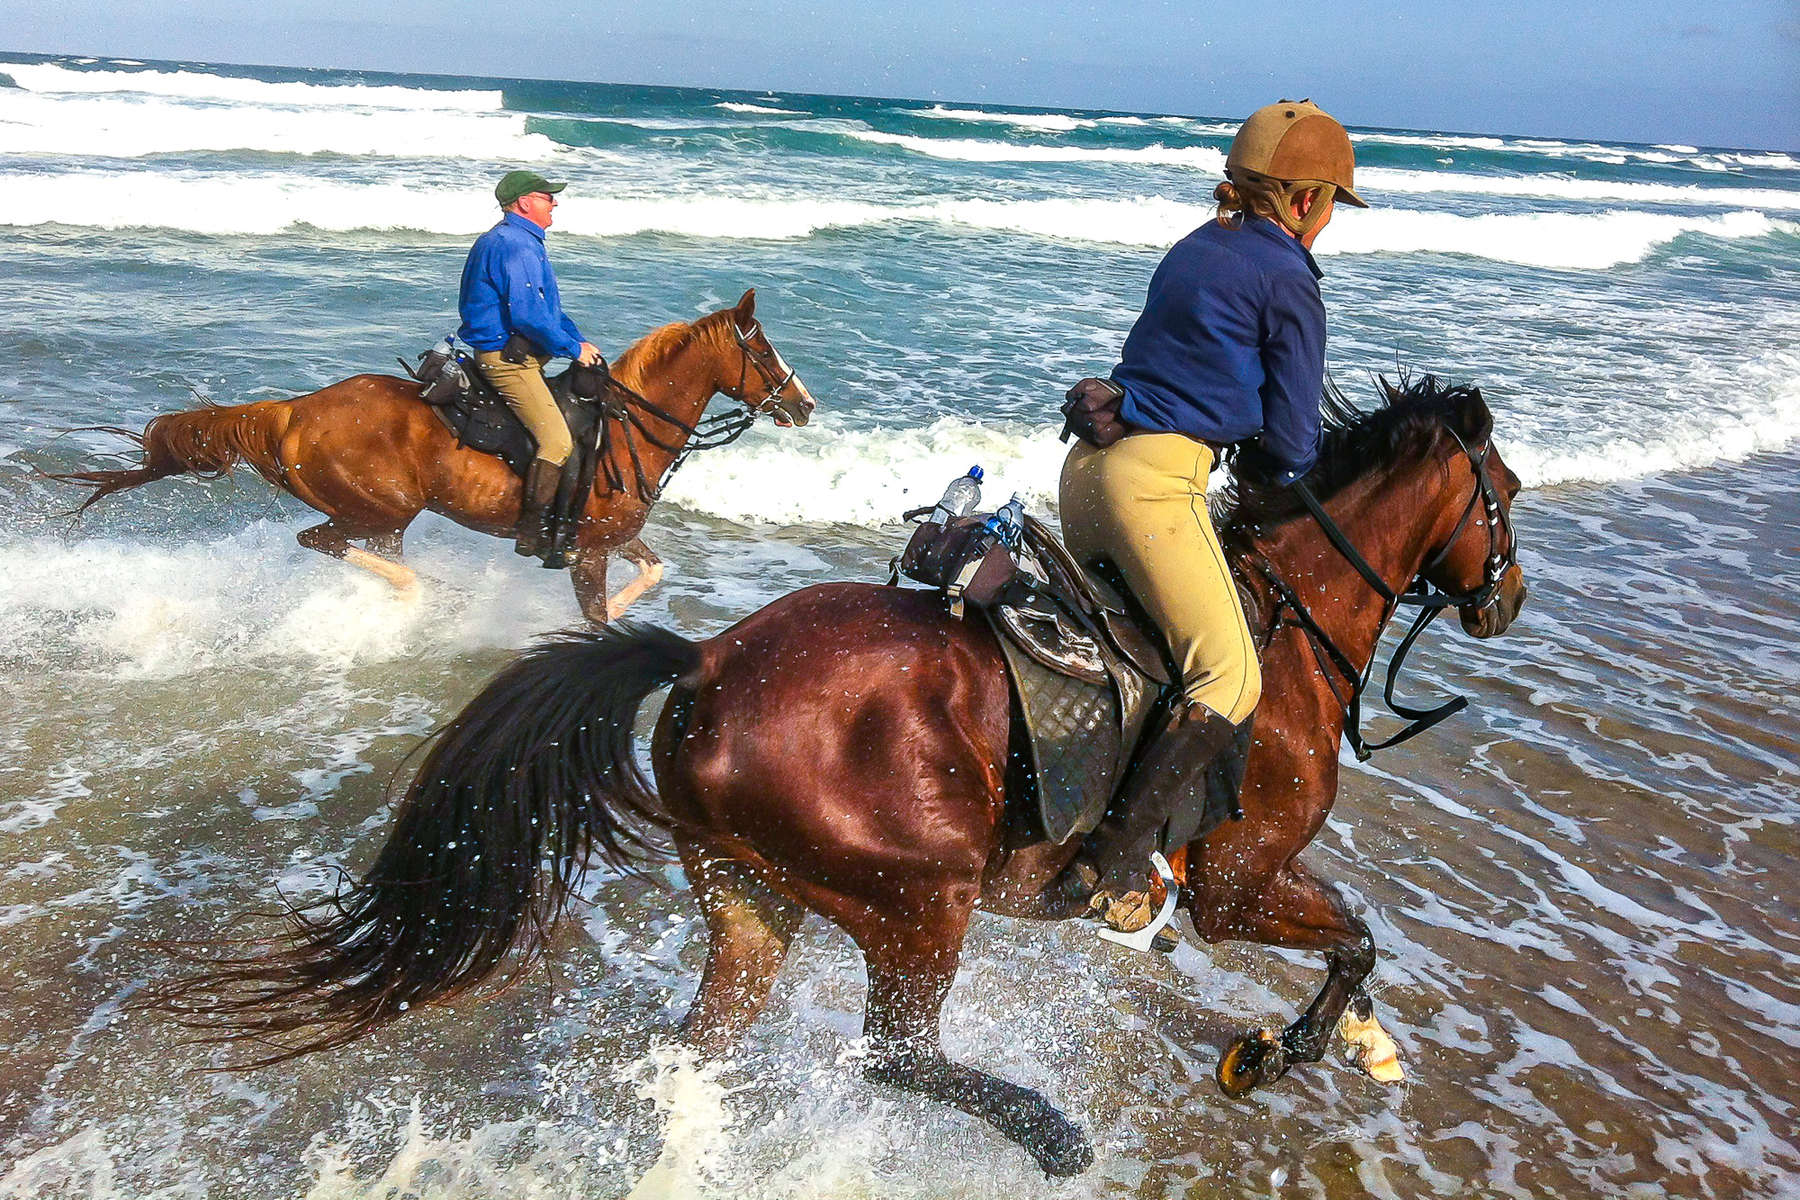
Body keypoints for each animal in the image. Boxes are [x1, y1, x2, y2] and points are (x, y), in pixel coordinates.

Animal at [56, 289, 817, 626]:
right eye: (762, 349)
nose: (805, 404)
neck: (627, 428)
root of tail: (295, 409)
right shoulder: (590, 552)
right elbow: (601, 617)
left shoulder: (613, 538)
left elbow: (653, 572)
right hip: (380, 508)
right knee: (326, 543)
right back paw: (420, 597)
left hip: (383, 517)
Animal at [162, 379, 1526, 1180]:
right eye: (1503, 498)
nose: (1505, 601)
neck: (1287, 630)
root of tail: (706, 661)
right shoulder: (1239, 884)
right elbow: (1354, 935)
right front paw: (1291, 1052)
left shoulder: (1244, 884)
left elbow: (1355, 938)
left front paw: (1354, 1047)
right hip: (918, 898)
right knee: (895, 1057)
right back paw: (1049, 1133)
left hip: (750, 898)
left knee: (704, 1049)